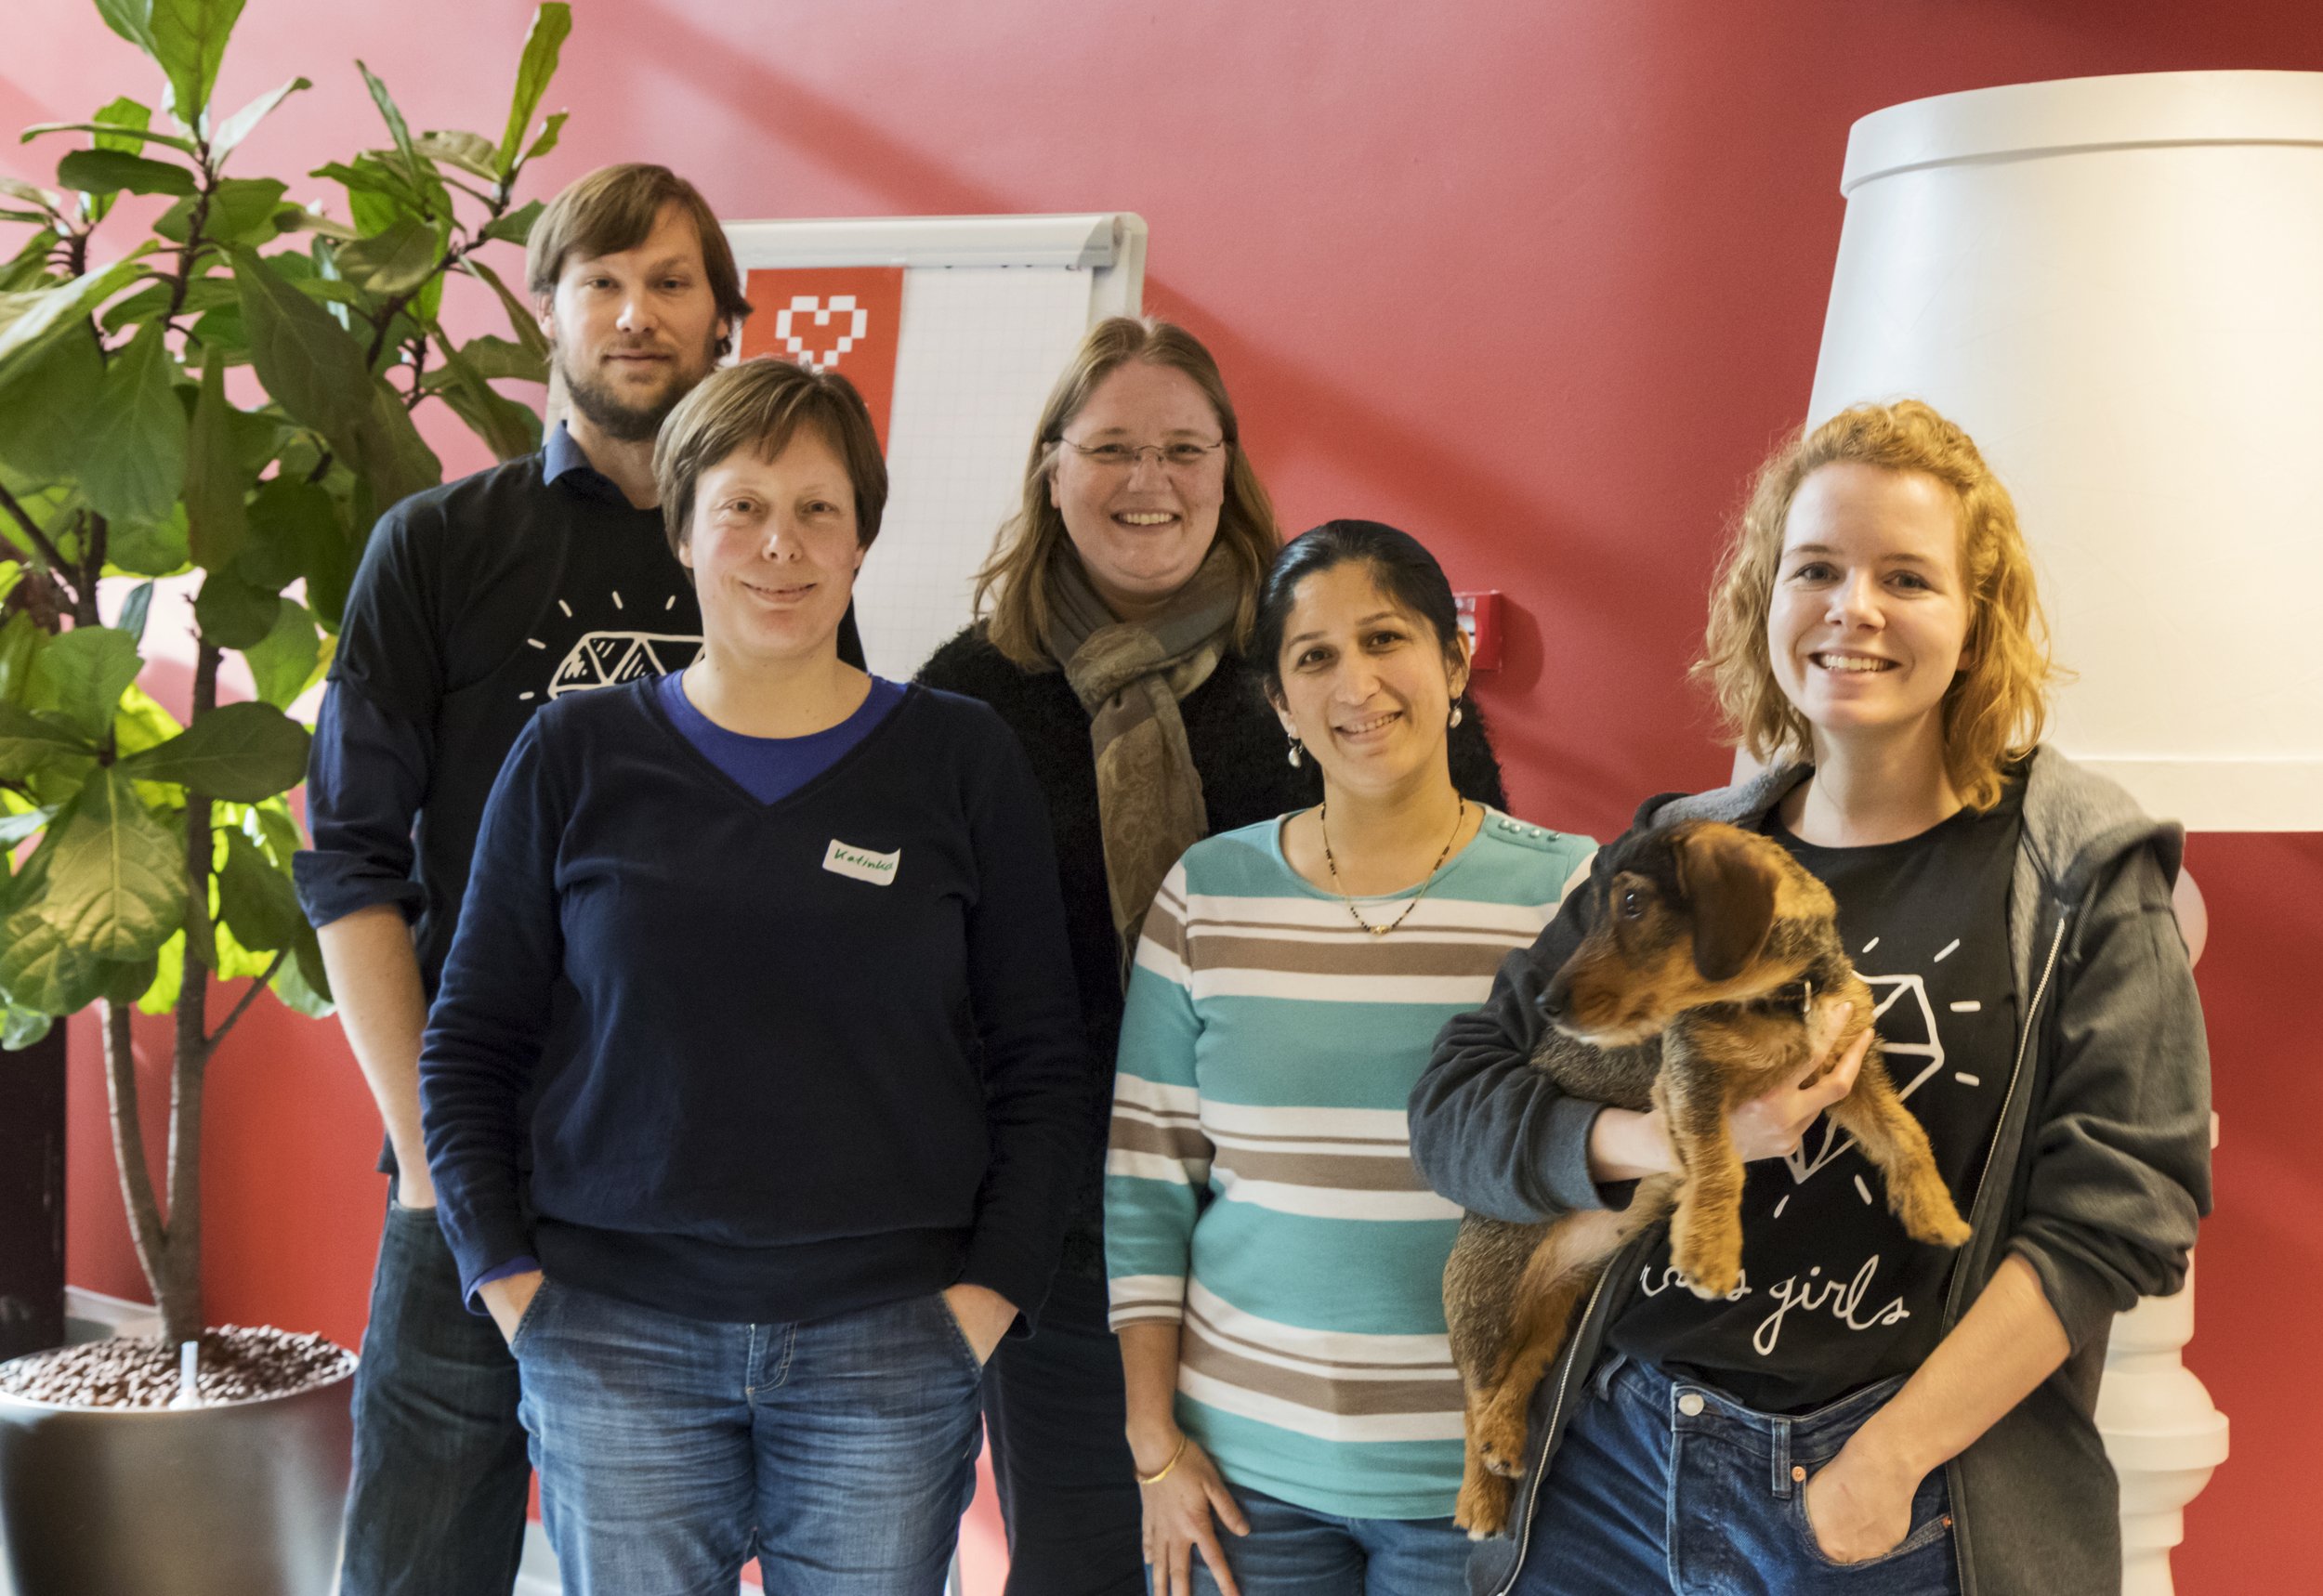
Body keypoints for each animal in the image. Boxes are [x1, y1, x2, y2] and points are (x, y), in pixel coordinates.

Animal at [1440, 822, 1970, 1533]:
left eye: (1631, 904)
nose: (1547, 1005)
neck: (1780, 997)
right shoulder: (1689, 1079)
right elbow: (1718, 1163)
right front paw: (1711, 1251)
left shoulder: (1850, 1071)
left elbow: (1904, 1134)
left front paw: (1935, 1210)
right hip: (1486, 1302)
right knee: (1472, 1394)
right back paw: (1480, 1494)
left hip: (1556, 1312)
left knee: (1515, 1377)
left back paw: (1504, 1440)